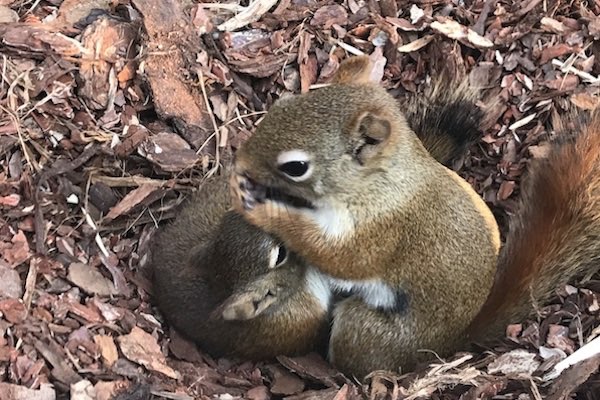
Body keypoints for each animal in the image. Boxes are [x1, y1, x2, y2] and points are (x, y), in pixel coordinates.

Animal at [229, 55, 600, 378]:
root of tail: (444, 346)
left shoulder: (381, 231)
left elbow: (338, 257)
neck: (378, 181)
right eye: (281, 107)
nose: (240, 162)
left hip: (366, 330)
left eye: (296, 167)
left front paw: (262, 209)